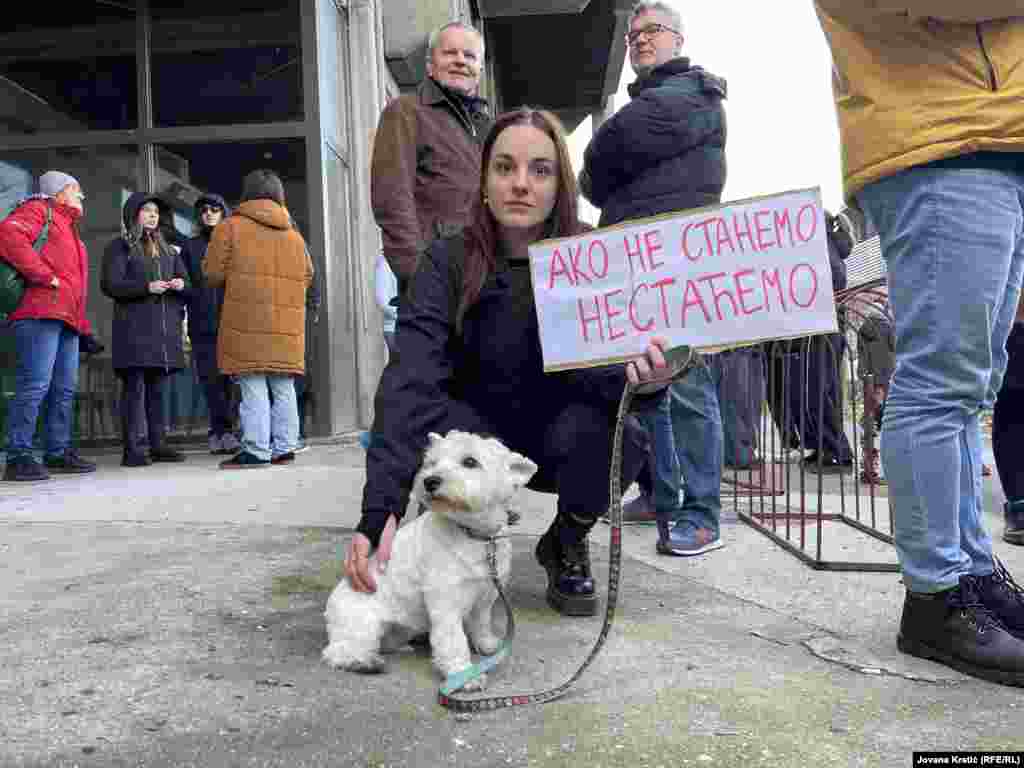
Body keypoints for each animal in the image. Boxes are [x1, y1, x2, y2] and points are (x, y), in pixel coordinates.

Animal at [323, 430, 540, 688]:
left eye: (470, 461)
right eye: (432, 463)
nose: (429, 481)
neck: (473, 535)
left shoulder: (486, 594)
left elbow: (481, 622)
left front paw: (487, 644)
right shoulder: (445, 601)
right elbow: (453, 639)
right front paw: (463, 675)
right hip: (362, 623)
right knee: (339, 651)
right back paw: (363, 662)